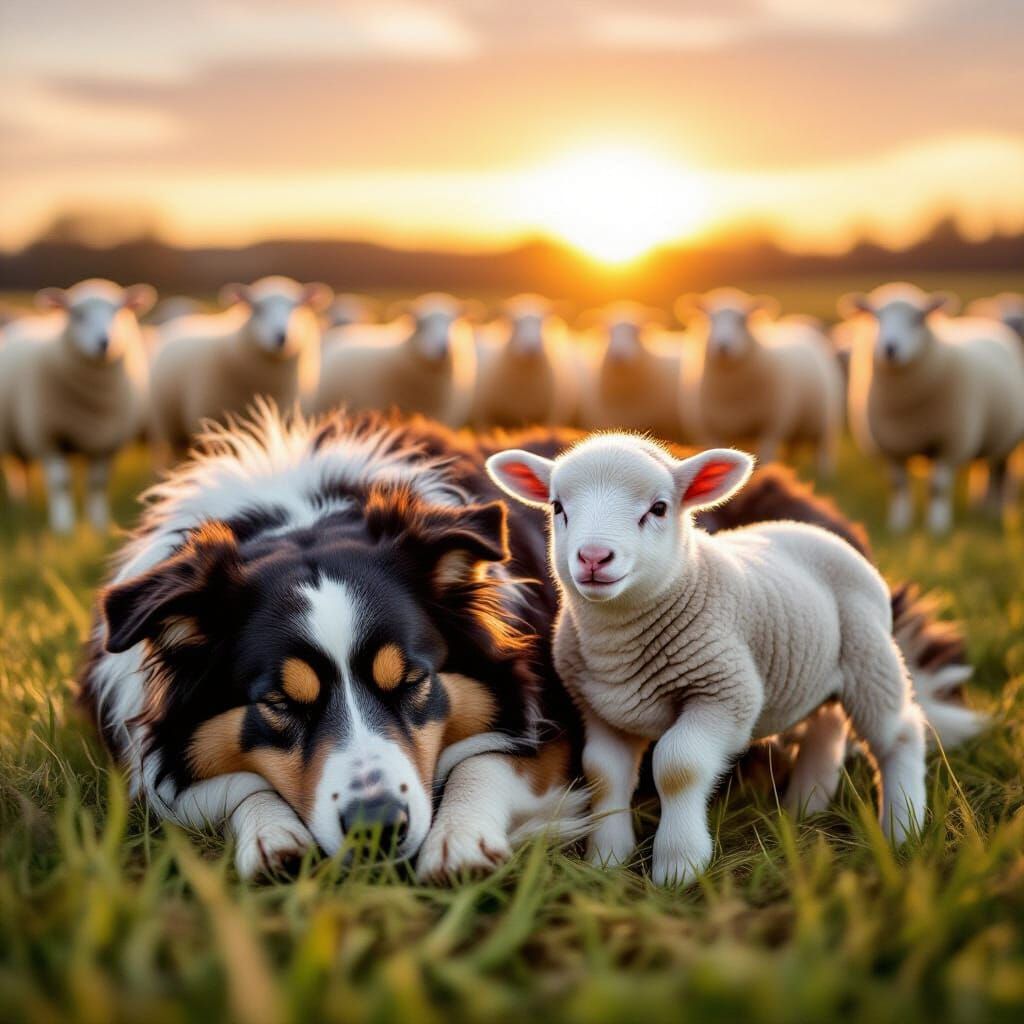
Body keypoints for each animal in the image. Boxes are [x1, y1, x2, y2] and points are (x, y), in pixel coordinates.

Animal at [0, 278, 154, 532]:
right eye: (78, 315)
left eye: (117, 311)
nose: (104, 342)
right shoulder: (50, 436)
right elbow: (61, 483)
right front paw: (64, 526)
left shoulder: (107, 442)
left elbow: (98, 484)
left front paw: (100, 524)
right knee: (17, 470)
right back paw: (20, 503)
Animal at [487, 435, 927, 886]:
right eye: (558, 507)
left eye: (659, 508)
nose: (594, 556)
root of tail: (816, 531)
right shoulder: (601, 709)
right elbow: (603, 774)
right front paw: (606, 860)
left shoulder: (724, 695)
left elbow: (678, 766)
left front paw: (679, 867)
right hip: (821, 670)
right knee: (825, 727)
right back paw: (804, 807)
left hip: (870, 655)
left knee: (900, 733)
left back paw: (901, 829)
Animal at [679, 288, 843, 476]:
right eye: (709, 318)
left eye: (742, 320)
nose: (723, 347)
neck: (731, 392)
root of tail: (799, 322)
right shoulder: (710, 431)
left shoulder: (770, 426)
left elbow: (766, 455)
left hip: (826, 419)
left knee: (823, 450)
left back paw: (825, 473)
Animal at [840, 283, 1024, 534]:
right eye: (876, 317)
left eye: (918, 318)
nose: (890, 348)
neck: (906, 405)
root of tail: (986, 322)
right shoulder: (892, 447)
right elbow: (898, 486)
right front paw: (899, 524)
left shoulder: (950, 443)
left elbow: (937, 487)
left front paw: (937, 527)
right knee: (983, 470)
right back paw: (980, 507)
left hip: (1006, 441)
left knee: (999, 475)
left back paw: (994, 513)